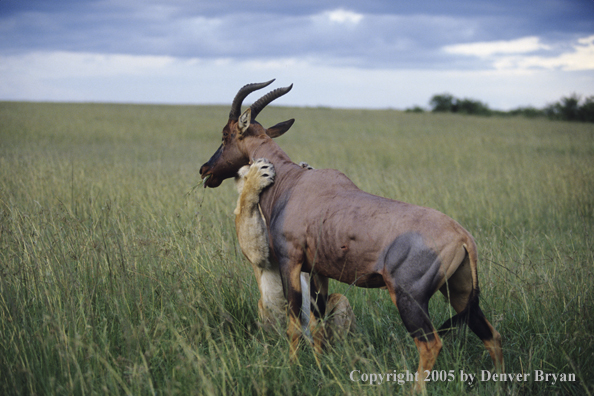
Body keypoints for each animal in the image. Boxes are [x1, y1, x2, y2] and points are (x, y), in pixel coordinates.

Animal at [199, 79, 500, 390]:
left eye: (225, 135)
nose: (205, 169)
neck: (292, 182)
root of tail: (464, 237)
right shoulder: (318, 271)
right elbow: (317, 324)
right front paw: (319, 368)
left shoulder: (289, 262)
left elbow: (295, 324)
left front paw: (293, 369)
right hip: (460, 292)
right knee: (491, 336)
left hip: (409, 298)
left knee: (431, 343)